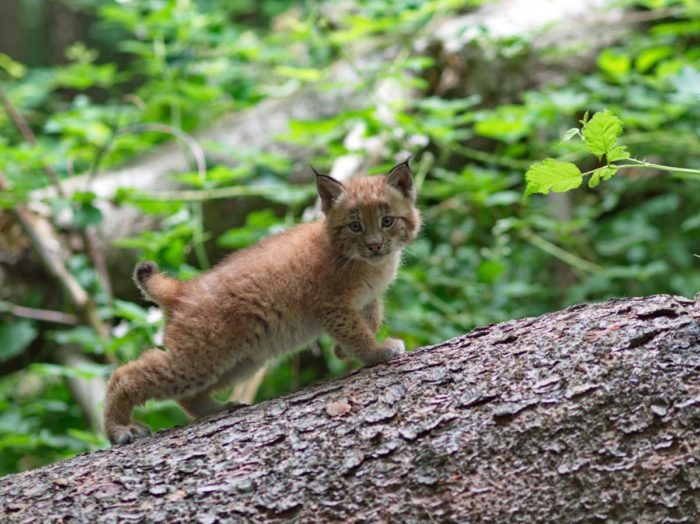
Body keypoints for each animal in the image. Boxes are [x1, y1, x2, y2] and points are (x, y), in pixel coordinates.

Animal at [102, 162, 422, 444]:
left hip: (240, 361)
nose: (375, 245)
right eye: (355, 226)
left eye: (387, 221)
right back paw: (118, 429)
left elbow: (373, 316)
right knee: (124, 374)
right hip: (200, 357)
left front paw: (344, 350)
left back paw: (216, 410)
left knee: (187, 394)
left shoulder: (366, 299)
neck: (367, 263)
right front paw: (375, 352)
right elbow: (356, 332)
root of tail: (183, 289)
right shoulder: (333, 306)